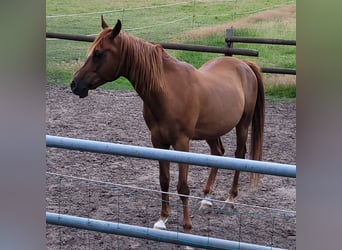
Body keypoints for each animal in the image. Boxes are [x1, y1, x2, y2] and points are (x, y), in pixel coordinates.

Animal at [71, 17, 266, 234]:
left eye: (98, 53)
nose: (75, 84)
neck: (168, 91)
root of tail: (244, 64)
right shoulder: (158, 142)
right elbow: (164, 181)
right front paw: (162, 219)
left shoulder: (182, 144)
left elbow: (183, 187)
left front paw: (187, 226)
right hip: (211, 130)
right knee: (218, 153)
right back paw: (206, 199)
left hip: (243, 125)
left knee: (239, 154)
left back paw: (230, 199)